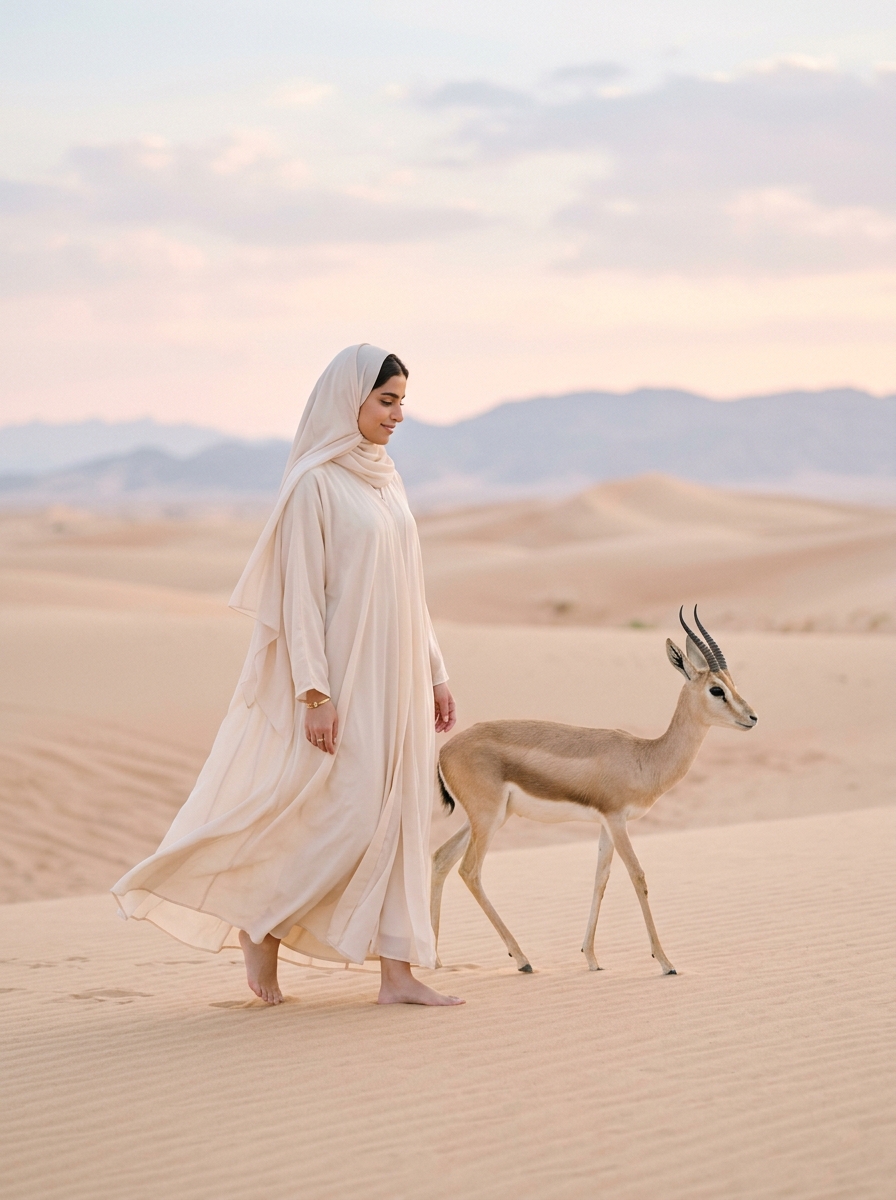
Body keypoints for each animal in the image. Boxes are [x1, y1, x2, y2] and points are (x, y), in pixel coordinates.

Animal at [431, 608, 757, 976]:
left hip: (486, 818)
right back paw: (523, 959)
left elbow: (600, 878)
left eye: (733, 684)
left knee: (441, 858)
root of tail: (444, 751)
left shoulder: (604, 824)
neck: (644, 757)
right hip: (488, 820)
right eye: (716, 690)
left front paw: (591, 958)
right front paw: (665, 962)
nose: (752, 717)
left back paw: (435, 960)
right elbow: (637, 876)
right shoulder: (617, 820)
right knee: (469, 871)